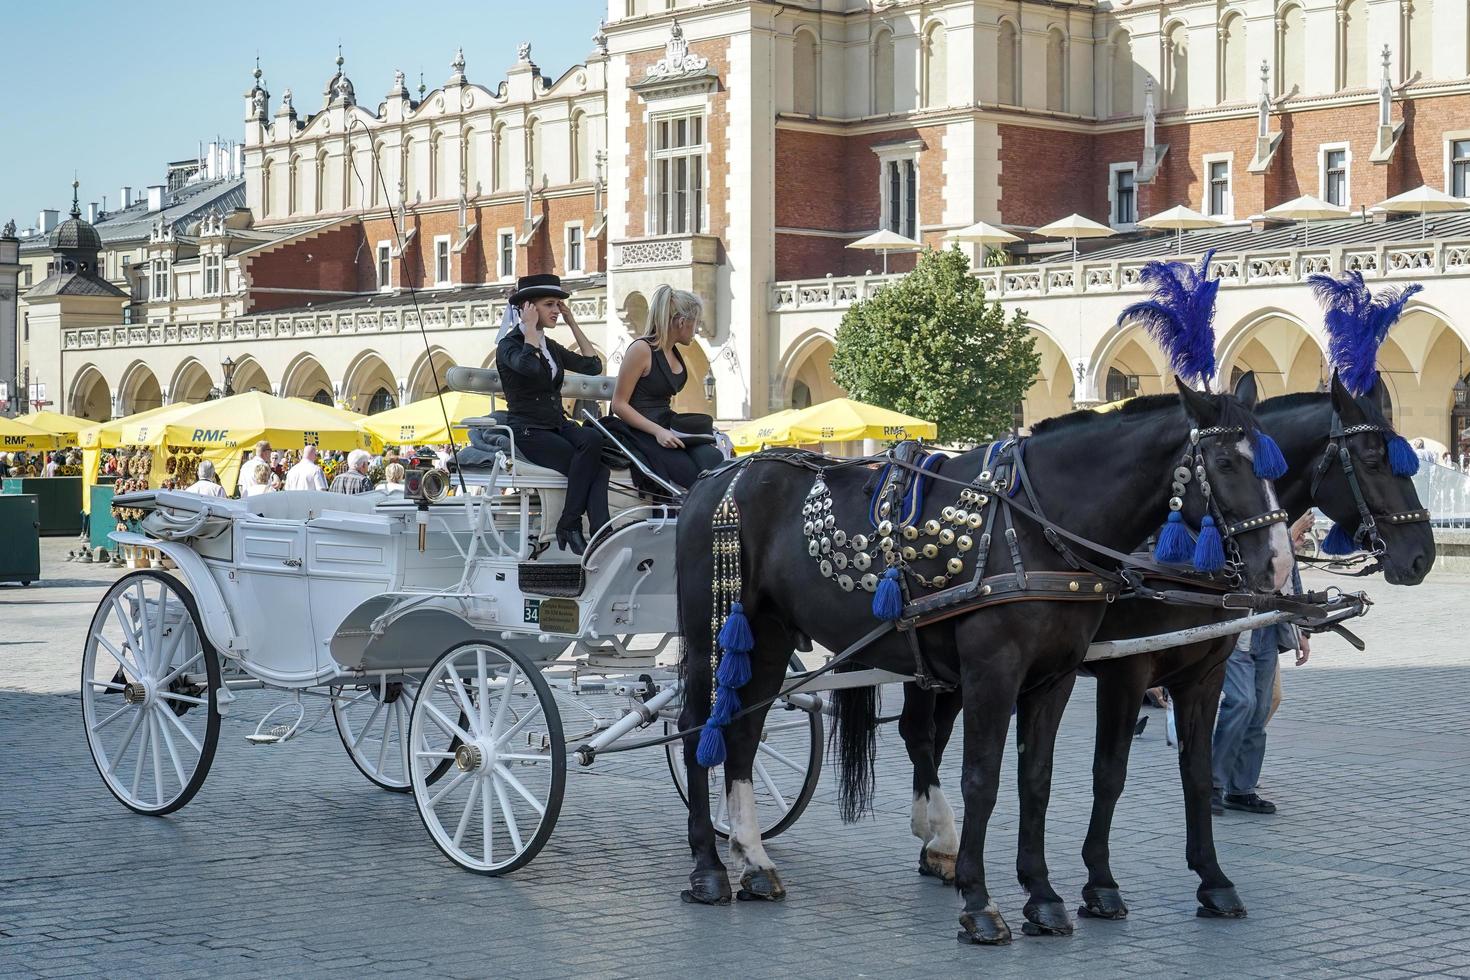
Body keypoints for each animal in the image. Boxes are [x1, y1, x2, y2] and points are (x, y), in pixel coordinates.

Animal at [673, 382, 1287, 940]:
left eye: (1274, 466)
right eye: (1226, 462)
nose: (1279, 564)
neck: (1038, 525)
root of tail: (715, 479)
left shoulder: (1059, 677)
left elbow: (1037, 779)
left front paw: (1043, 896)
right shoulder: (1005, 671)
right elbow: (983, 780)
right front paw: (981, 902)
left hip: (769, 637)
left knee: (745, 729)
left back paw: (754, 860)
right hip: (712, 634)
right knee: (696, 728)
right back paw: (708, 868)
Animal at [893, 371, 1434, 922]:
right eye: (1373, 460)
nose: (1422, 557)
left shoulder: (1206, 670)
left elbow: (1196, 770)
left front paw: (1213, 879)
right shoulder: (1127, 670)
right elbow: (1109, 773)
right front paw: (1101, 882)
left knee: (929, 733)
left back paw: (937, 846)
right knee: (921, 733)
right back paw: (940, 837)